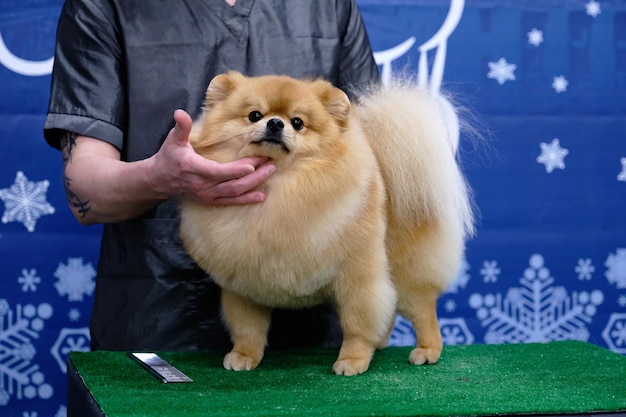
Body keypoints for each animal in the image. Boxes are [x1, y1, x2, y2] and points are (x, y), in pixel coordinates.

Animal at [178, 70, 470, 376]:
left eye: (298, 122)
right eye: (254, 115)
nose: (275, 123)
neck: (277, 190)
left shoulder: (357, 278)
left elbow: (357, 322)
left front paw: (352, 360)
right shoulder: (243, 286)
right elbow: (248, 328)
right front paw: (244, 355)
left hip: (406, 272)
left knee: (423, 311)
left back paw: (427, 350)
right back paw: (380, 344)